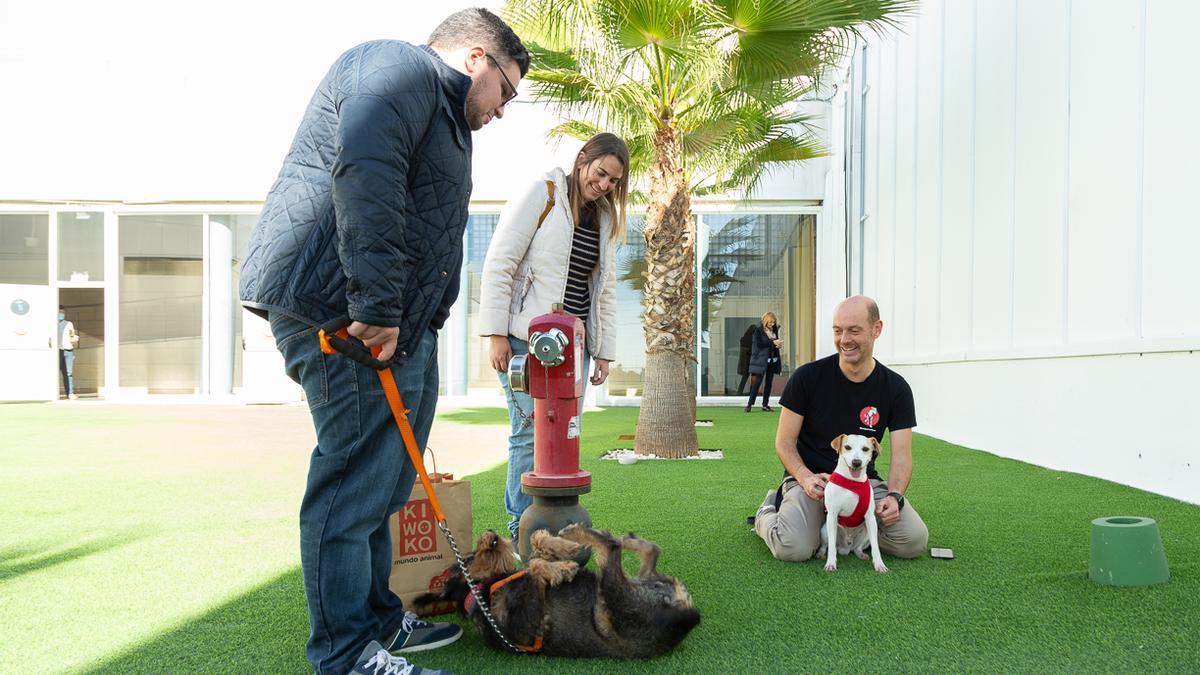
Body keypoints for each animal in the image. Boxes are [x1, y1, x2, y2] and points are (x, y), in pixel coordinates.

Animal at [820, 432, 888, 569]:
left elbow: (875, 546)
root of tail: (846, 547)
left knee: (858, 548)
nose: (856, 462)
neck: (852, 482)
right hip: (824, 530)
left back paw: (861, 554)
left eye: (865, 449)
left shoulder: (870, 518)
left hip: (867, 532)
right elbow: (831, 546)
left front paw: (879, 564)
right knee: (827, 545)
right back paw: (821, 554)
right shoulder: (832, 515)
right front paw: (831, 563)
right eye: (847, 447)